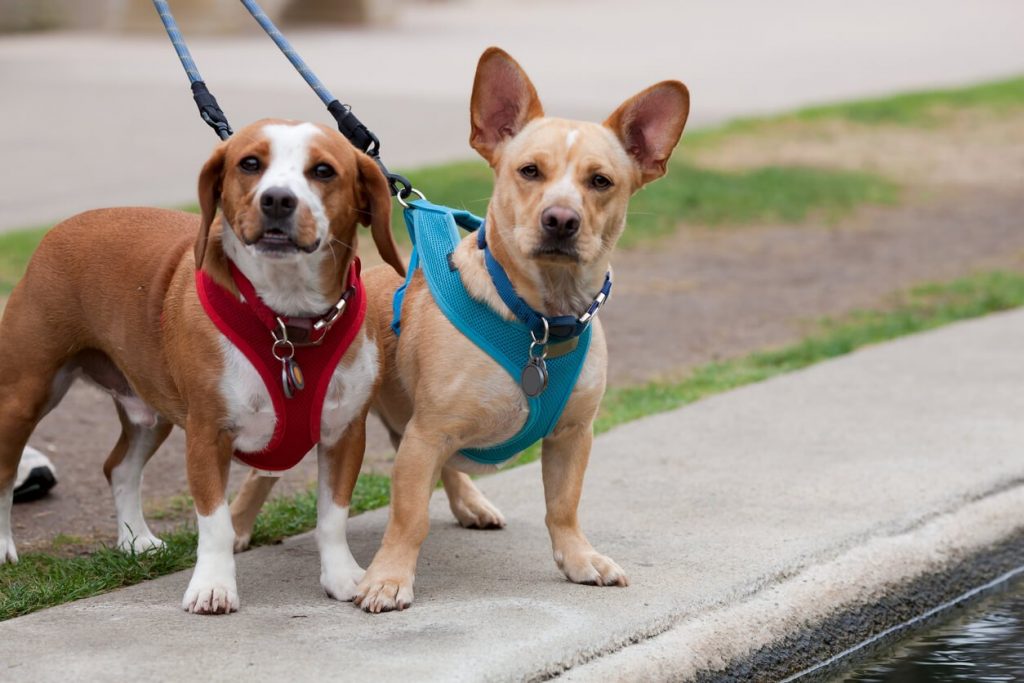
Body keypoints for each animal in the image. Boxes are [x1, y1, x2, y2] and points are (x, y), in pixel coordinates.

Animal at [0, 120, 403, 618]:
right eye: (249, 163)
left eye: (324, 171)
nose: (276, 200)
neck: (286, 320)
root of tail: (64, 226)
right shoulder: (208, 434)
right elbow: (217, 524)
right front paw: (213, 586)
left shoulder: (345, 434)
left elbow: (332, 517)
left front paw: (341, 577)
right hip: (25, 396)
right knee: (4, 475)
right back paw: (4, 547)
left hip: (148, 412)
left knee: (119, 468)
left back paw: (135, 540)